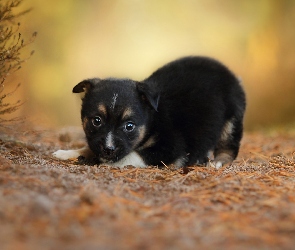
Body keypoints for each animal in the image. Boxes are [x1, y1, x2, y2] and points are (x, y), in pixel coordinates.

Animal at [53, 56, 247, 169]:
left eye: (129, 126)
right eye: (97, 121)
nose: (108, 150)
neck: (153, 120)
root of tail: (231, 75)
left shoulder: (170, 147)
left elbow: (132, 155)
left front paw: (98, 161)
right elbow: (89, 147)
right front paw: (67, 153)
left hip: (231, 121)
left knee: (229, 148)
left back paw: (217, 162)